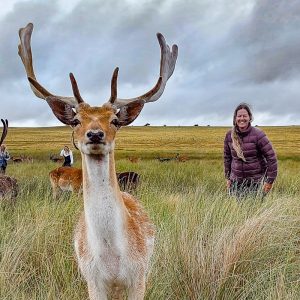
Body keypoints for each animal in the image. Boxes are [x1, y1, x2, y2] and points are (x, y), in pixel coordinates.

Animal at [18, 22, 178, 298]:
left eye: (114, 120)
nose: (95, 134)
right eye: (75, 120)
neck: (111, 258)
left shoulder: (138, 277)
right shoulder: (92, 279)